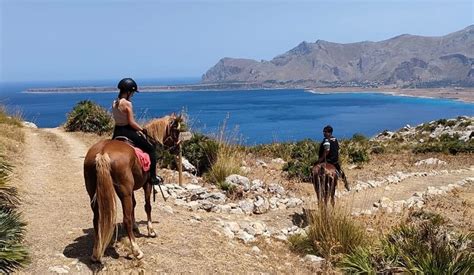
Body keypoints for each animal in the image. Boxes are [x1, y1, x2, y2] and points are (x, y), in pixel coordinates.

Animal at [83, 113, 181, 264]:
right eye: (176, 131)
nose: (177, 148)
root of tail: (103, 152)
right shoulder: (147, 184)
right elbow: (147, 206)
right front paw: (151, 230)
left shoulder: (132, 189)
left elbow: (134, 205)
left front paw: (136, 226)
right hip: (125, 193)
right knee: (126, 219)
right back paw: (136, 251)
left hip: (94, 192)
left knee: (96, 219)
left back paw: (95, 253)